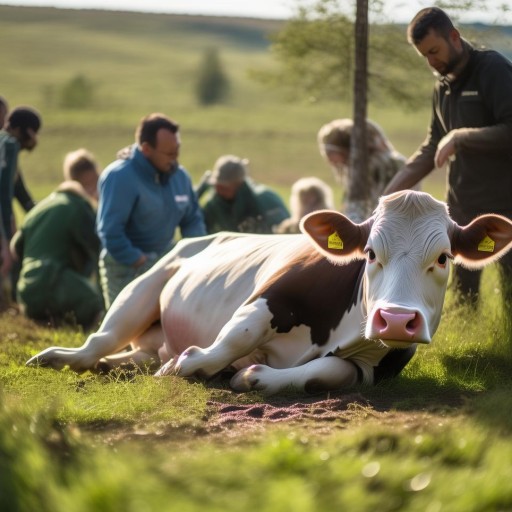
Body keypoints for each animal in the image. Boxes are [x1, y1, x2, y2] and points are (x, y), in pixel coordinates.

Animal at [26, 192, 512, 396]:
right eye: (371, 253)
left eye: (443, 258)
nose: (395, 320)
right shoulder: (271, 298)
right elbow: (236, 335)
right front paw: (194, 365)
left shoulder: (375, 365)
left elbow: (330, 373)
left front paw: (254, 377)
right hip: (145, 286)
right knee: (99, 341)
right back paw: (60, 357)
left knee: (136, 354)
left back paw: (125, 364)